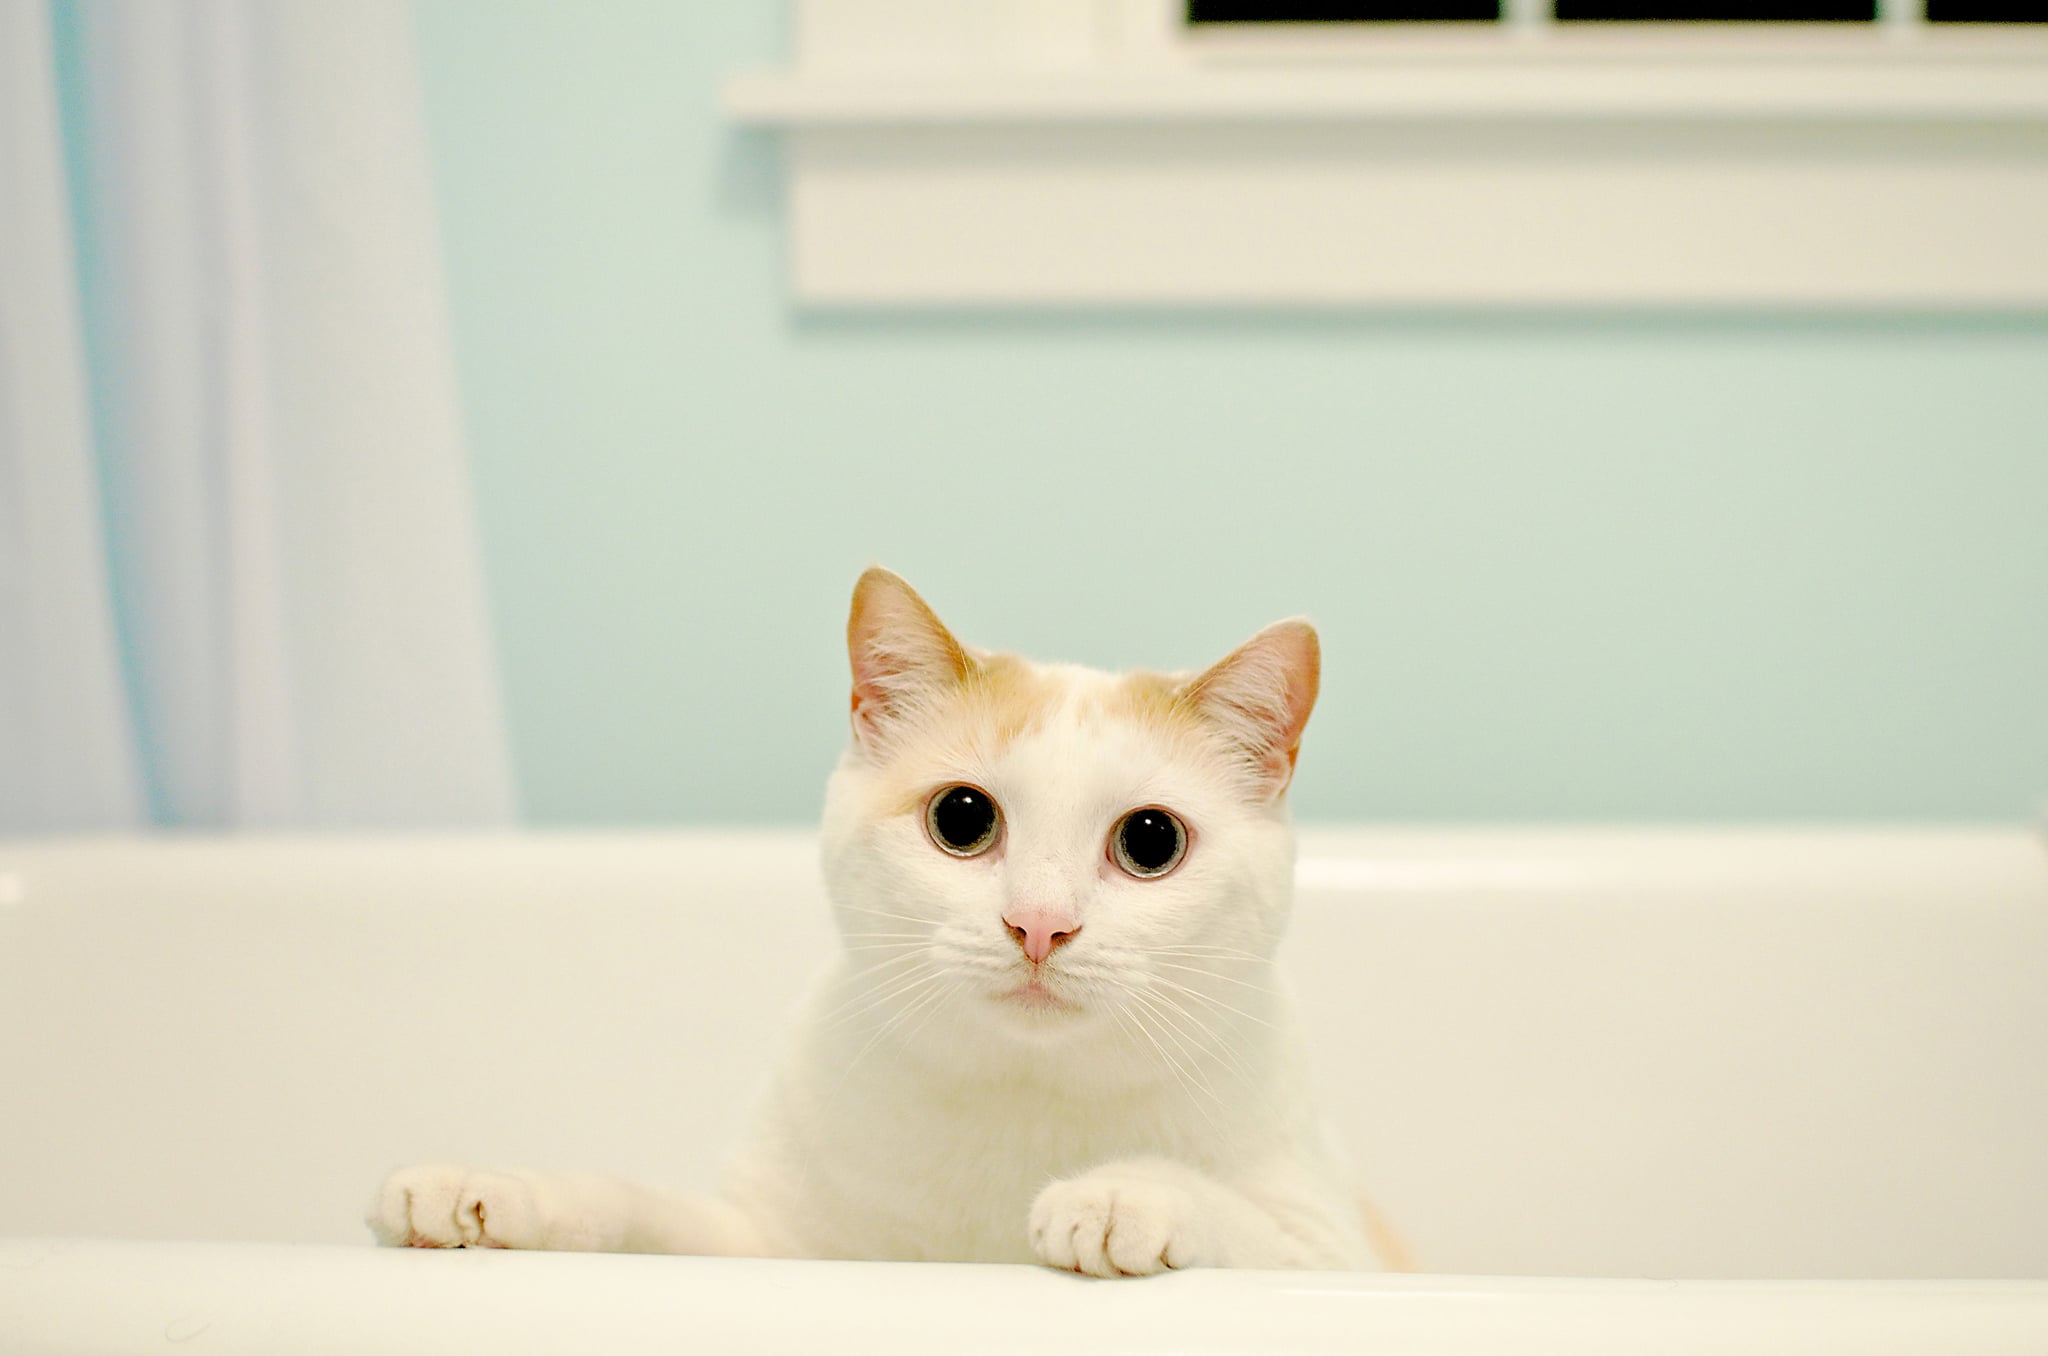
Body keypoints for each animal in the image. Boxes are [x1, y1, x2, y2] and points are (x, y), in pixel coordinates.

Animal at [374, 569, 1384, 1278]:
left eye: (1150, 839)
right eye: (963, 819)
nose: (1039, 925)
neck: (1020, 1096)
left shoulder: (1337, 1254)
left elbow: (1244, 1221)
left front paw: (1124, 1195)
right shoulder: (765, 1244)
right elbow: (629, 1205)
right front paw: (488, 1191)